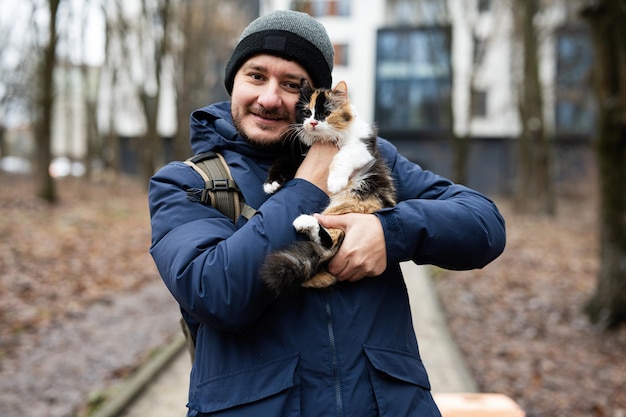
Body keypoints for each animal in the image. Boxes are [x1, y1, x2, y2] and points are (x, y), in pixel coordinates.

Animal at [260, 79, 394, 296]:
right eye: (307, 112)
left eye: (325, 113)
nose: (313, 123)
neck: (320, 140)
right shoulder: (297, 151)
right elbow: (282, 160)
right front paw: (271, 183)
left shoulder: (362, 147)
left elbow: (342, 157)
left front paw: (335, 181)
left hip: (352, 204)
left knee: (331, 244)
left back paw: (305, 221)